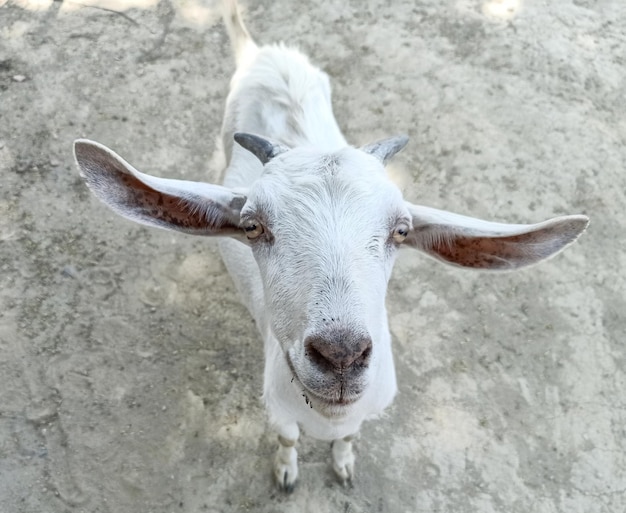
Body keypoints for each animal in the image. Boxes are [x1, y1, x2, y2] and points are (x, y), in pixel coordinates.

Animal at [73, 1, 584, 492]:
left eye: (401, 231)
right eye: (252, 226)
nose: (342, 356)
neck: (326, 415)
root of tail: (262, 52)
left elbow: (351, 437)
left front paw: (342, 466)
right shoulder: (278, 406)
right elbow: (286, 439)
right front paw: (286, 475)